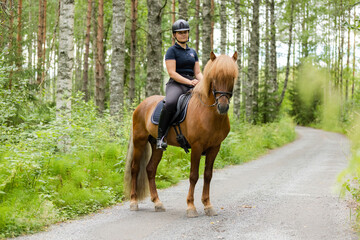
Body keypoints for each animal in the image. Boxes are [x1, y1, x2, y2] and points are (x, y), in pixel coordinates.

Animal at [124, 51, 239, 218]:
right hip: (140, 142)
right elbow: (194, 176)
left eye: (232, 77)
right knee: (135, 168)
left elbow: (208, 175)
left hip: (157, 146)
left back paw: (157, 203)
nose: (222, 107)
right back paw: (134, 202)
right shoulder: (197, 147)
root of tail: (141, 105)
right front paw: (191, 207)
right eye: (214, 78)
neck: (208, 112)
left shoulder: (215, 147)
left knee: (150, 169)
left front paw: (208, 205)